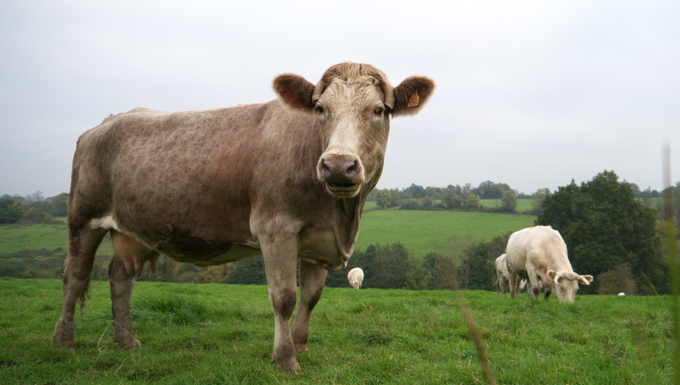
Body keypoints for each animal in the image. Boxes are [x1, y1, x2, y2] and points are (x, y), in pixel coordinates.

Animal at [53, 62, 436, 368]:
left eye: (379, 110)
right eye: (320, 108)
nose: (338, 164)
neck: (341, 216)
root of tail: (103, 123)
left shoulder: (319, 240)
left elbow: (311, 297)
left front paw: (301, 346)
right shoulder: (275, 228)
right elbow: (284, 297)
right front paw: (285, 358)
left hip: (132, 228)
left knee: (120, 277)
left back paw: (126, 341)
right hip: (83, 218)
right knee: (74, 276)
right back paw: (63, 342)